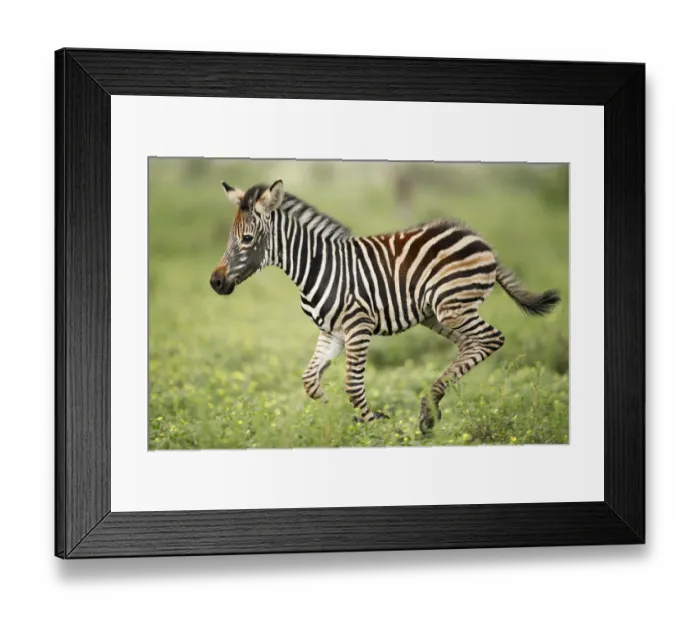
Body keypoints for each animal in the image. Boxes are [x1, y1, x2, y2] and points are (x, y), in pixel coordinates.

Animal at [210, 179, 561, 435]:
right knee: (470, 344)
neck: (315, 266)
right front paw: (334, 415)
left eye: (247, 239)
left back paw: (428, 409)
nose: (215, 282)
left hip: (452, 307)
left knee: (490, 339)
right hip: (435, 314)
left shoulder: (358, 326)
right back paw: (430, 410)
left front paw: (375, 426)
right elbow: (310, 381)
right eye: (230, 239)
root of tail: (478, 237)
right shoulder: (331, 332)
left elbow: (352, 385)